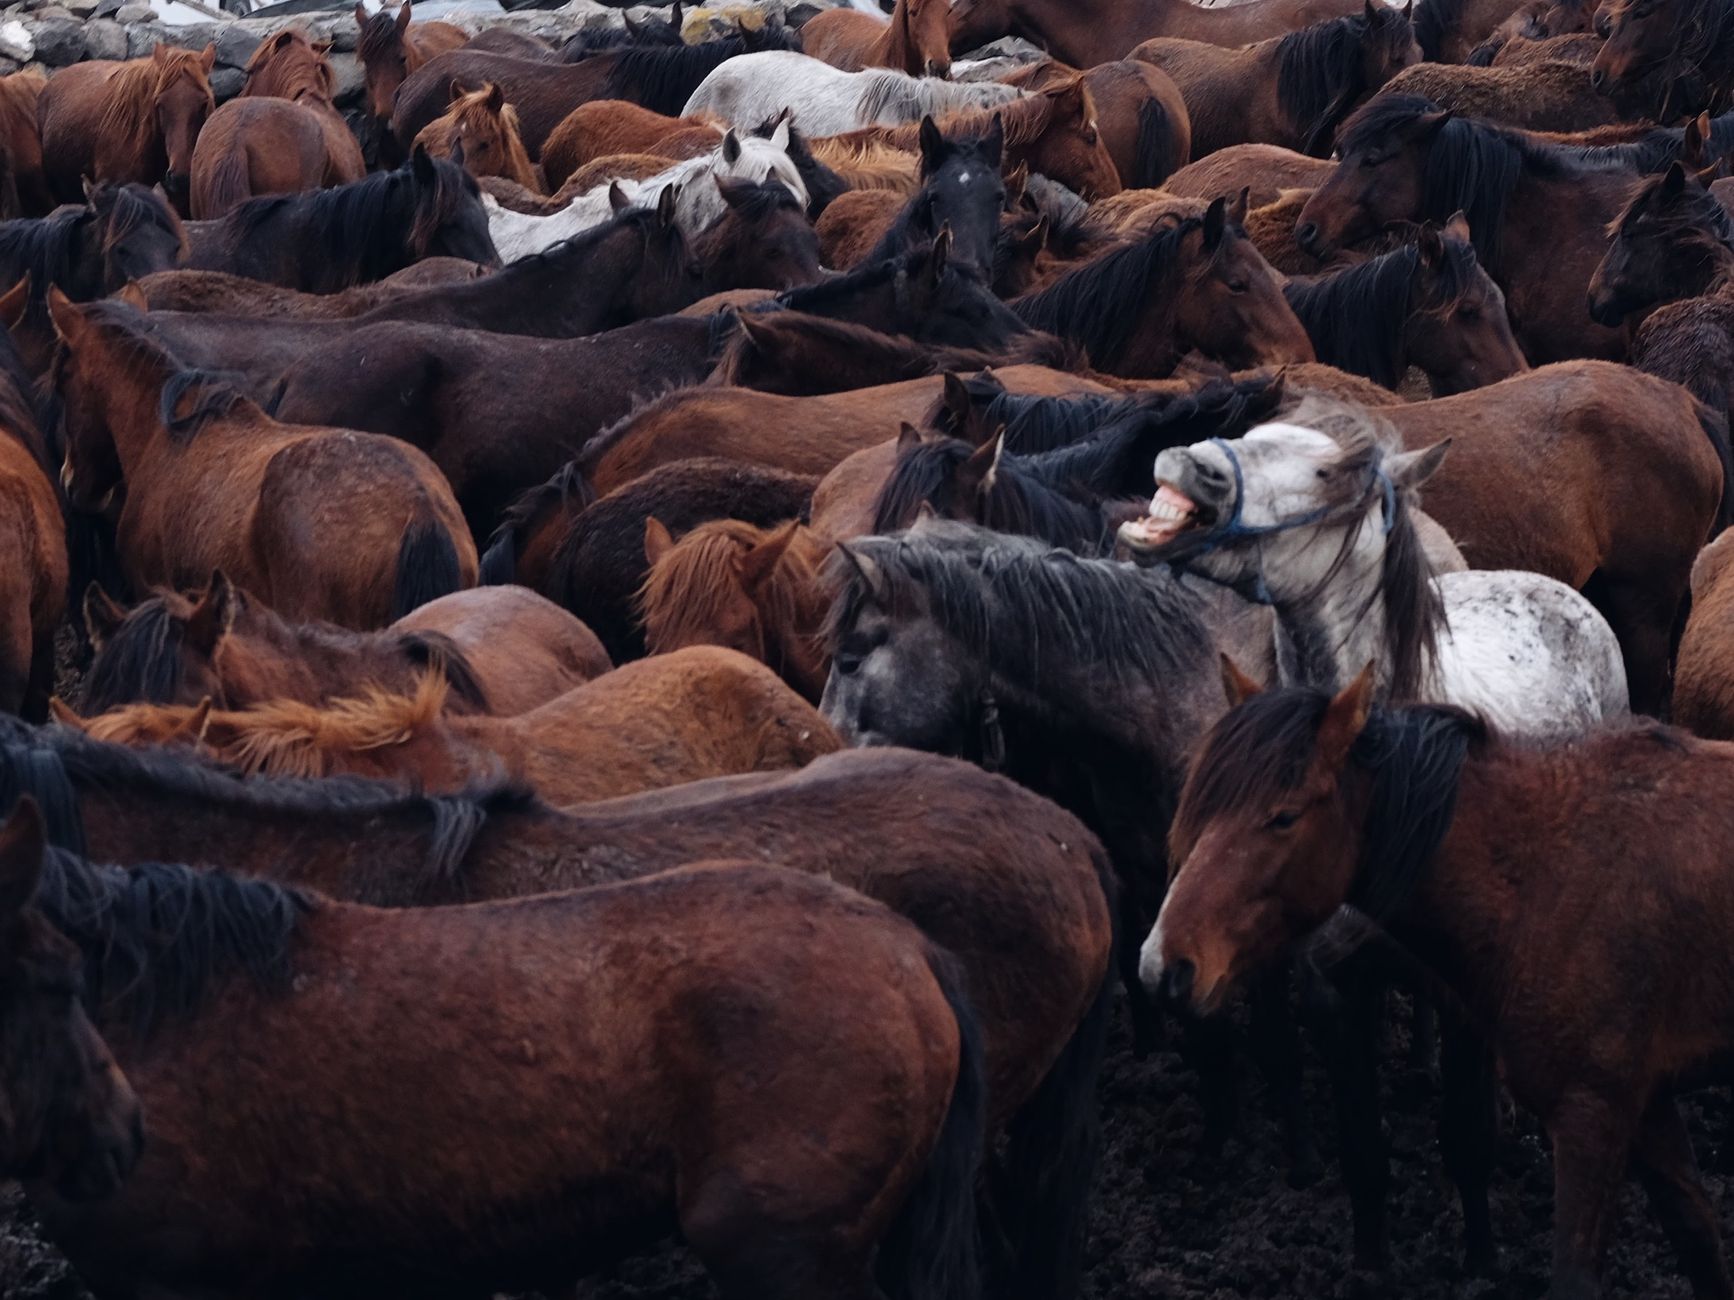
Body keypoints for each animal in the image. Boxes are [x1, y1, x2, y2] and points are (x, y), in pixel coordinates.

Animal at [1144, 673, 1734, 1299]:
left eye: (1283, 817)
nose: (1163, 964)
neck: (1550, 873)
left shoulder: (1591, 1115)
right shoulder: (1646, 1103)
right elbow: (1698, 1239)